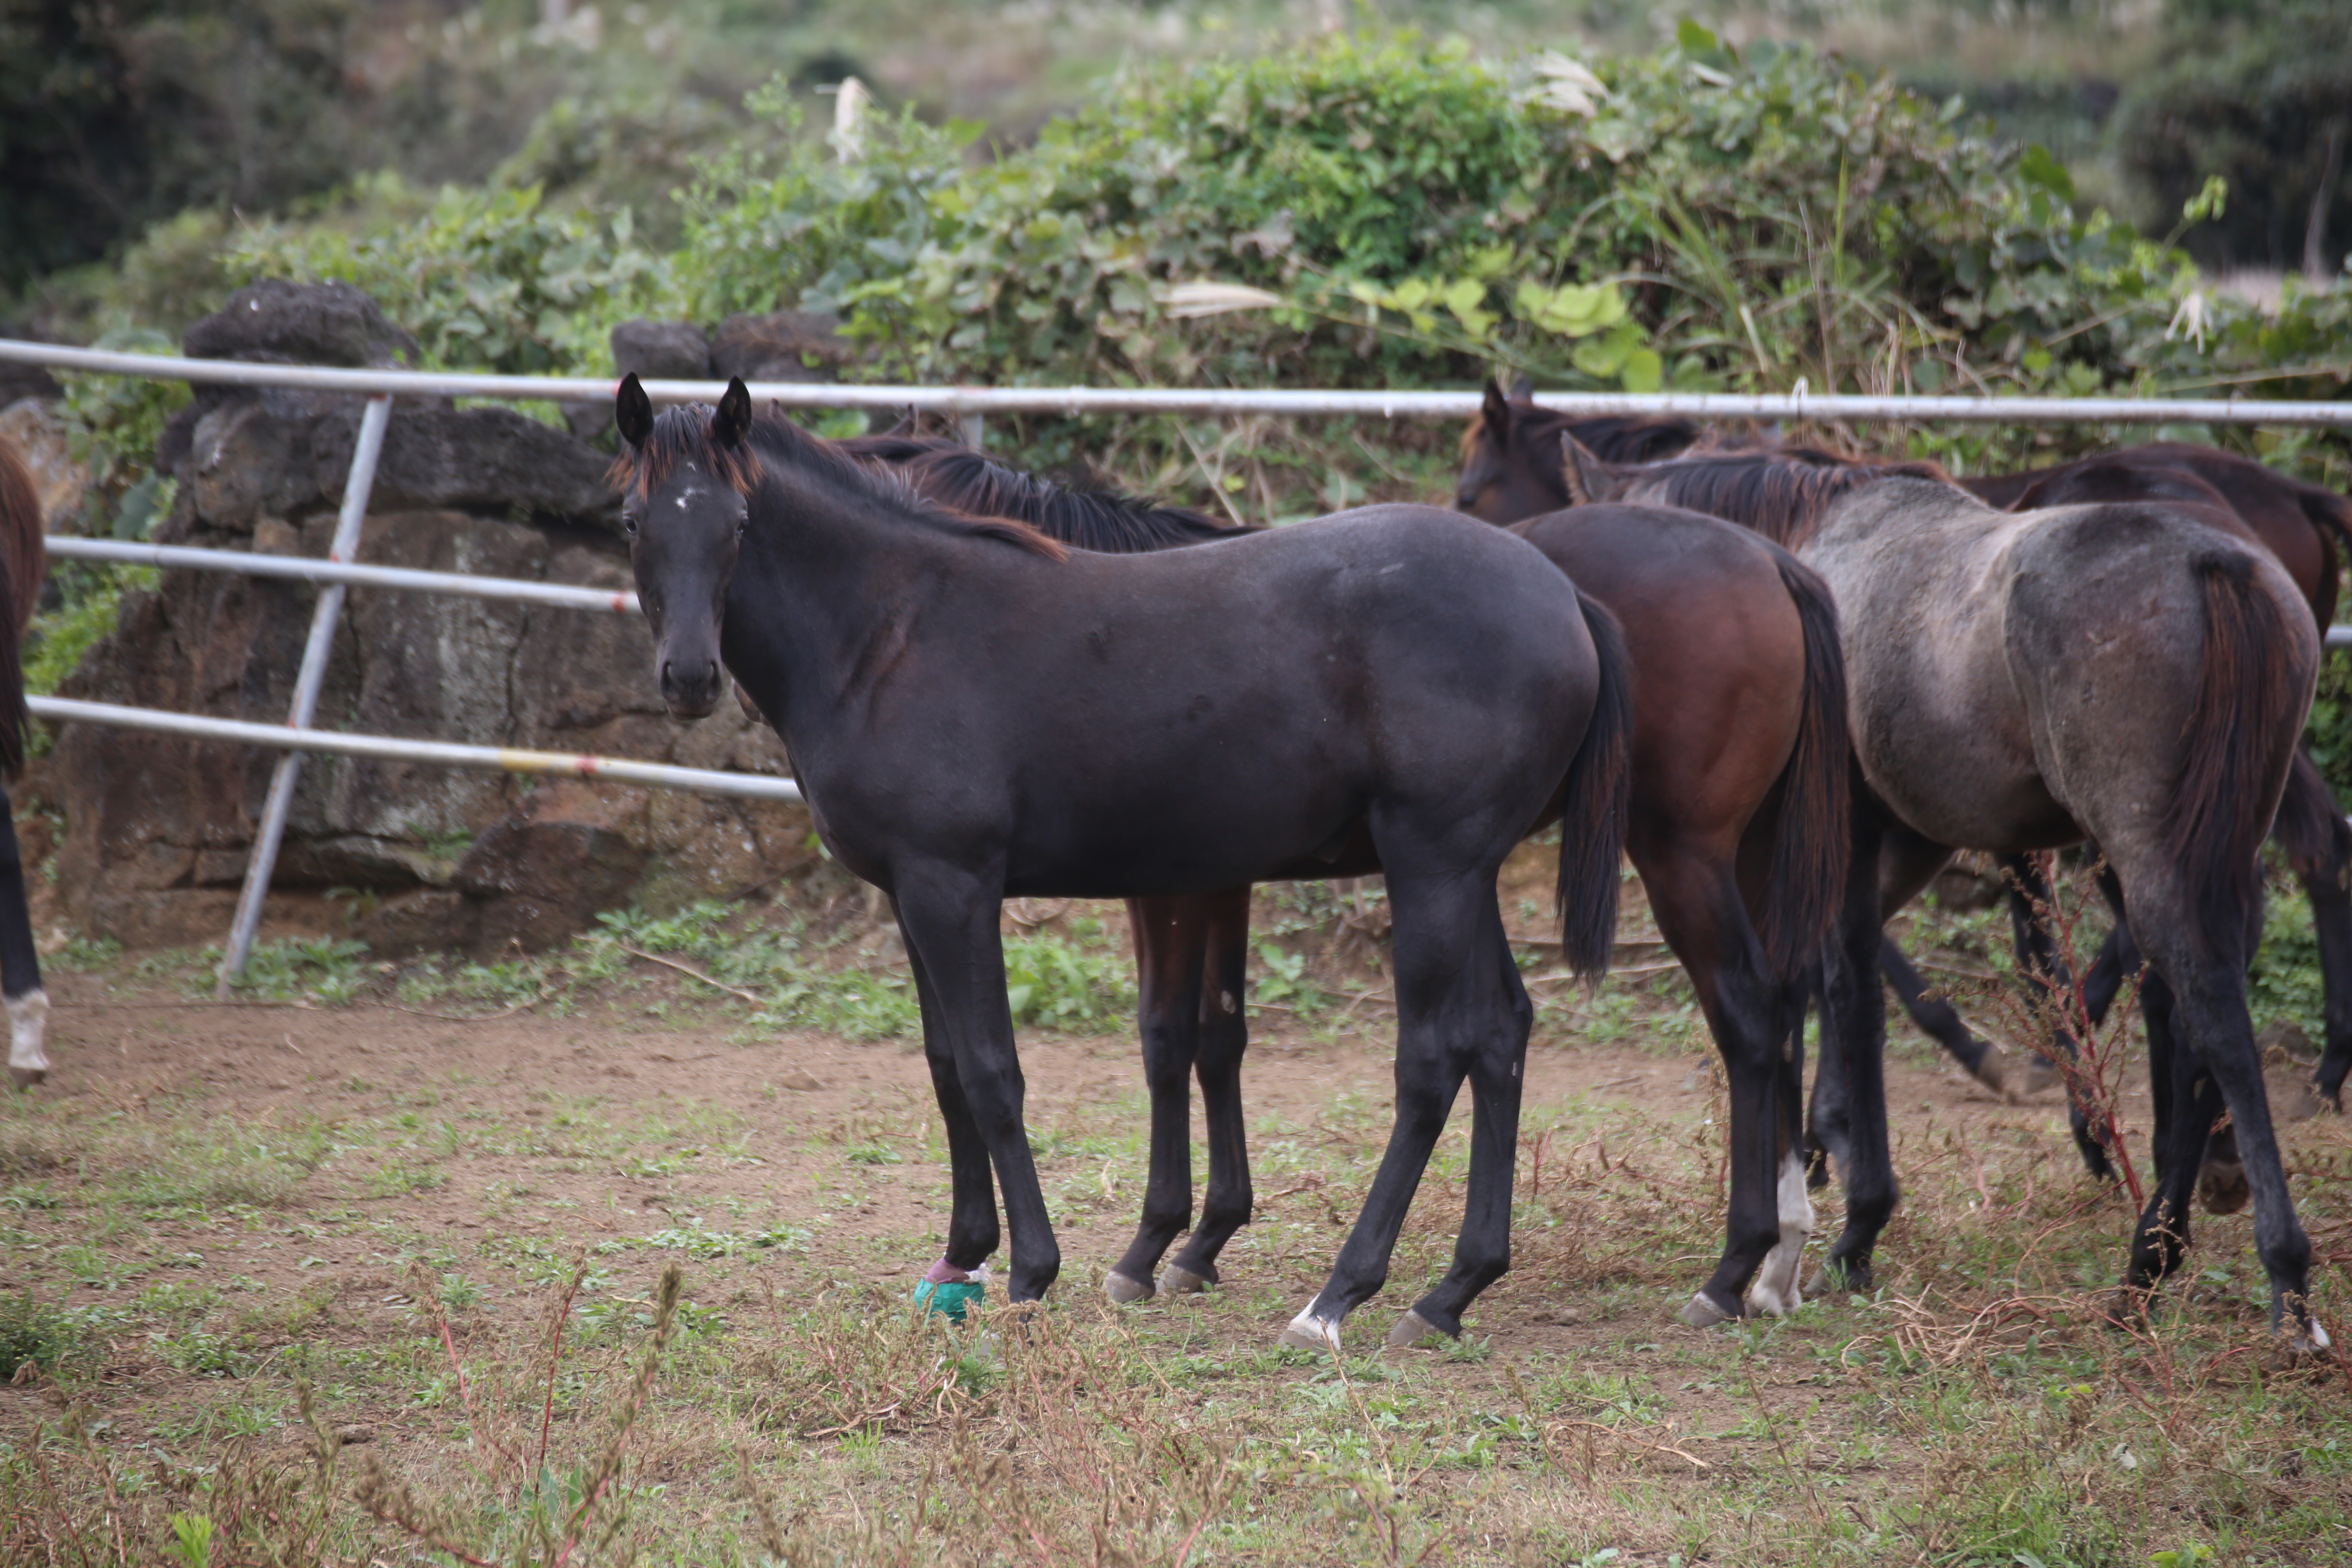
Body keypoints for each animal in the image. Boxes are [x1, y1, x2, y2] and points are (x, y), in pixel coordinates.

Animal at [616, 376, 1627, 1354]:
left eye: (738, 522)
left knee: (1430, 1058)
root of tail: (1564, 597)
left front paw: (1031, 1275)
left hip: (1431, 870)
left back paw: (1337, 1298)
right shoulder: (913, 895)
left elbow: (995, 1072)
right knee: (1498, 1035)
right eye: (631, 521)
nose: (689, 678)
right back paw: (1452, 1293)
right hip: (1467, 875)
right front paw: (961, 1260)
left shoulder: (957, 888)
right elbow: (951, 1069)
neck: (891, 631)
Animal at [865, 425, 1853, 1326]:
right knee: (1741, 1007)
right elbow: (1216, 1036)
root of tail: (1771, 561)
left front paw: (1157, 1242)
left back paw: (1733, 1268)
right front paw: (1199, 1239)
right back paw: (1755, 1262)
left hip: (1669, 851)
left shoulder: (1177, 889)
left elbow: (1168, 1039)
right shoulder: (1218, 883)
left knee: (1746, 1016)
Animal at [1561, 439, 2333, 1354]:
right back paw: (2160, 1249)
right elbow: (1837, 987)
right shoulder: (1903, 846)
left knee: (2208, 1008)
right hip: (2203, 847)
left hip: (2141, 848)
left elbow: (1849, 995)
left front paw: (1852, 1226)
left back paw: (2268, 1279)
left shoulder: (1845, 841)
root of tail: (2215, 562)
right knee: (2194, 1006)